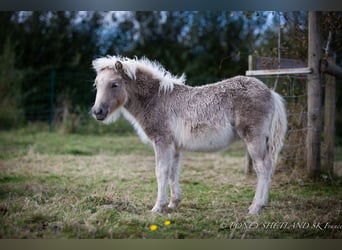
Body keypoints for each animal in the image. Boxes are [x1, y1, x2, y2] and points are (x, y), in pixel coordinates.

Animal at [91, 55, 288, 214]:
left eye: (114, 84)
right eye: (97, 84)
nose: (97, 111)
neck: (156, 99)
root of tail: (270, 92)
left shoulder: (162, 141)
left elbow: (161, 172)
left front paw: (157, 207)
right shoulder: (175, 147)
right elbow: (172, 173)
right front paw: (173, 204)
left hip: (254, 138)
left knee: (263, 167)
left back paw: (255, 207)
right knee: (269, 166)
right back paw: (262, 204)